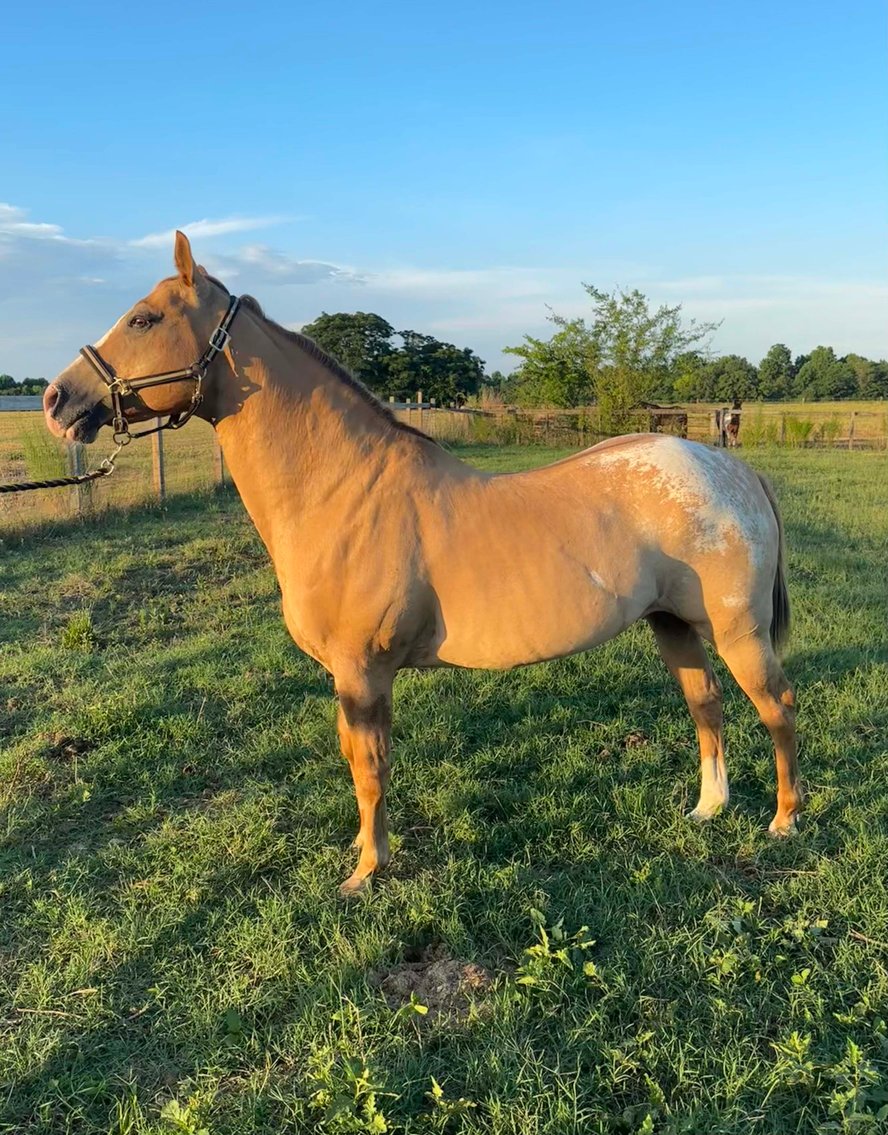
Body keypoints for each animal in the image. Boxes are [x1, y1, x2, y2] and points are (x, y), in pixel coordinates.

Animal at [43, 233, 801, 895]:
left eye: (143, 317)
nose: (57, 399)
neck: (342, 493)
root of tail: (733, 469)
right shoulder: (352, 677)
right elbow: (358, 761)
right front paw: (364, 852)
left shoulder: (362, 672)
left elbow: (370, 769)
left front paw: (366, 872)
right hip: (672, 624)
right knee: (706, 705)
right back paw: (708, 808)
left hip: (737, 633)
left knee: (776, 706)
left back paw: (784, 821)